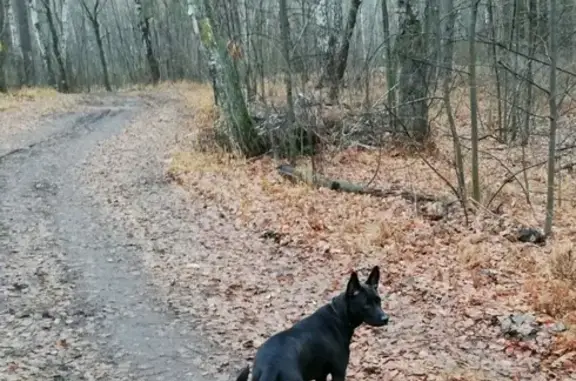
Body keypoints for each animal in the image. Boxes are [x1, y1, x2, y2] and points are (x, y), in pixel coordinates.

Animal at [236, 266, 390, 380]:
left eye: (379, 300)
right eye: (366, 305)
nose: (386, 318)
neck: (339, 315)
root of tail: (271, 367)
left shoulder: (320, 375)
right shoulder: (338, 372)